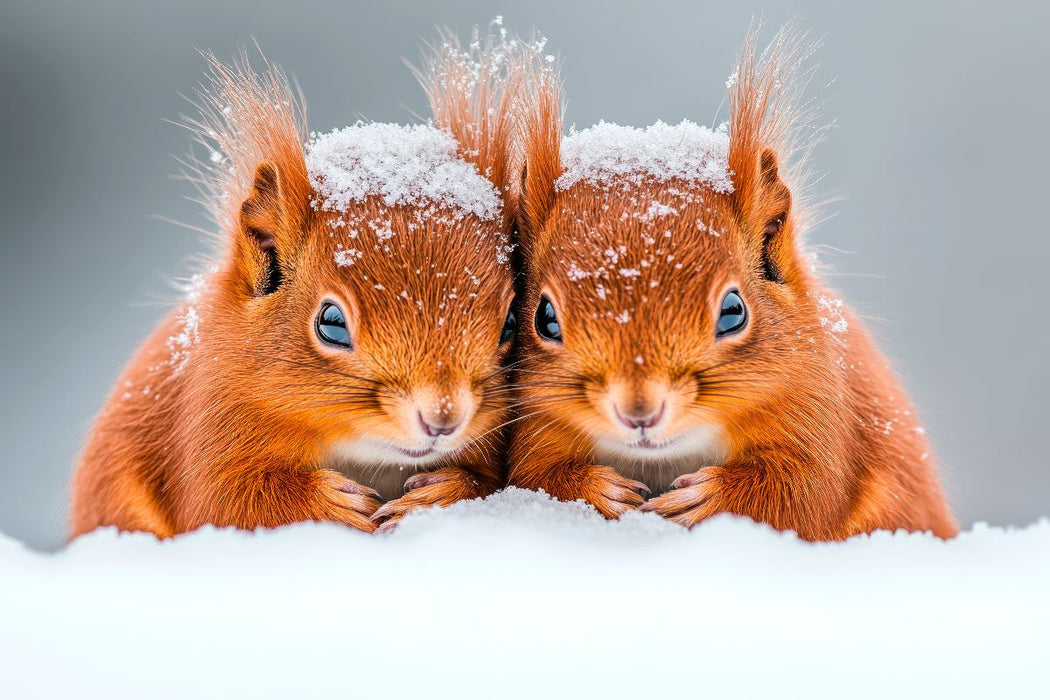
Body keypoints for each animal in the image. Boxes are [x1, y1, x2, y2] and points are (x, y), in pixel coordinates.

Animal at [69, 48, 519, 538]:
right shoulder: (210, 421)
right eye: (332, 324)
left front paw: (437, 497)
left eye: (510, 323)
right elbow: (226, 504)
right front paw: (332, 505)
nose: (443, 418)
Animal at [505, 26, 958, 540]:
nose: (639, 412)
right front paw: (600, 491)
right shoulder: (536, 426)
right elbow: (535, 477)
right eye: (544, 319)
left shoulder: (821, 411)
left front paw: (709, 497)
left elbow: (803, 494)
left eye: (733, 312)